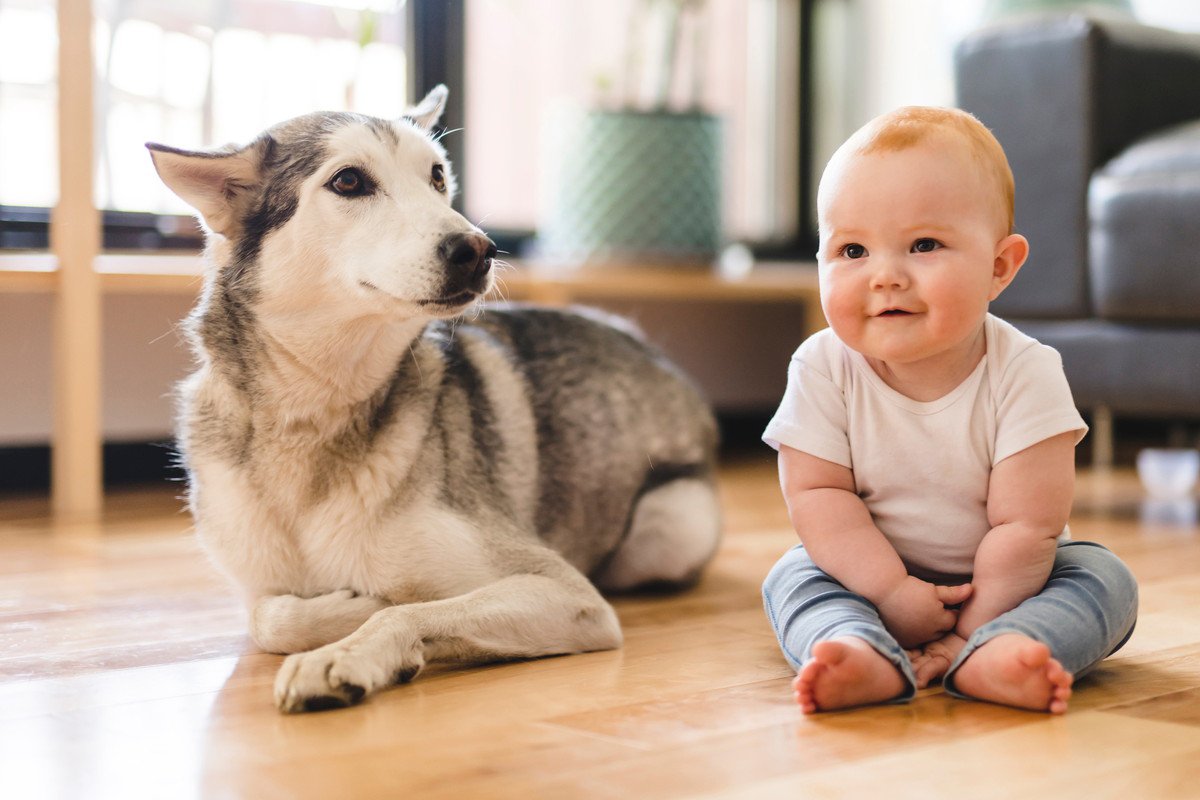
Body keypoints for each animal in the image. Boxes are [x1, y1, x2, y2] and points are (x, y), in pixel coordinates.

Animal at [145, 87, 715, 714]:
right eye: (349, 181)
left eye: (437, 177)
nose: (480, 248)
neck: (318, 412)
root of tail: (640, 340)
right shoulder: (258, 586)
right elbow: (269, 617)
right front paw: (347, 609)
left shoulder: (567, 594)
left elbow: (406, 610)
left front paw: (348, 646)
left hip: (671, 526)